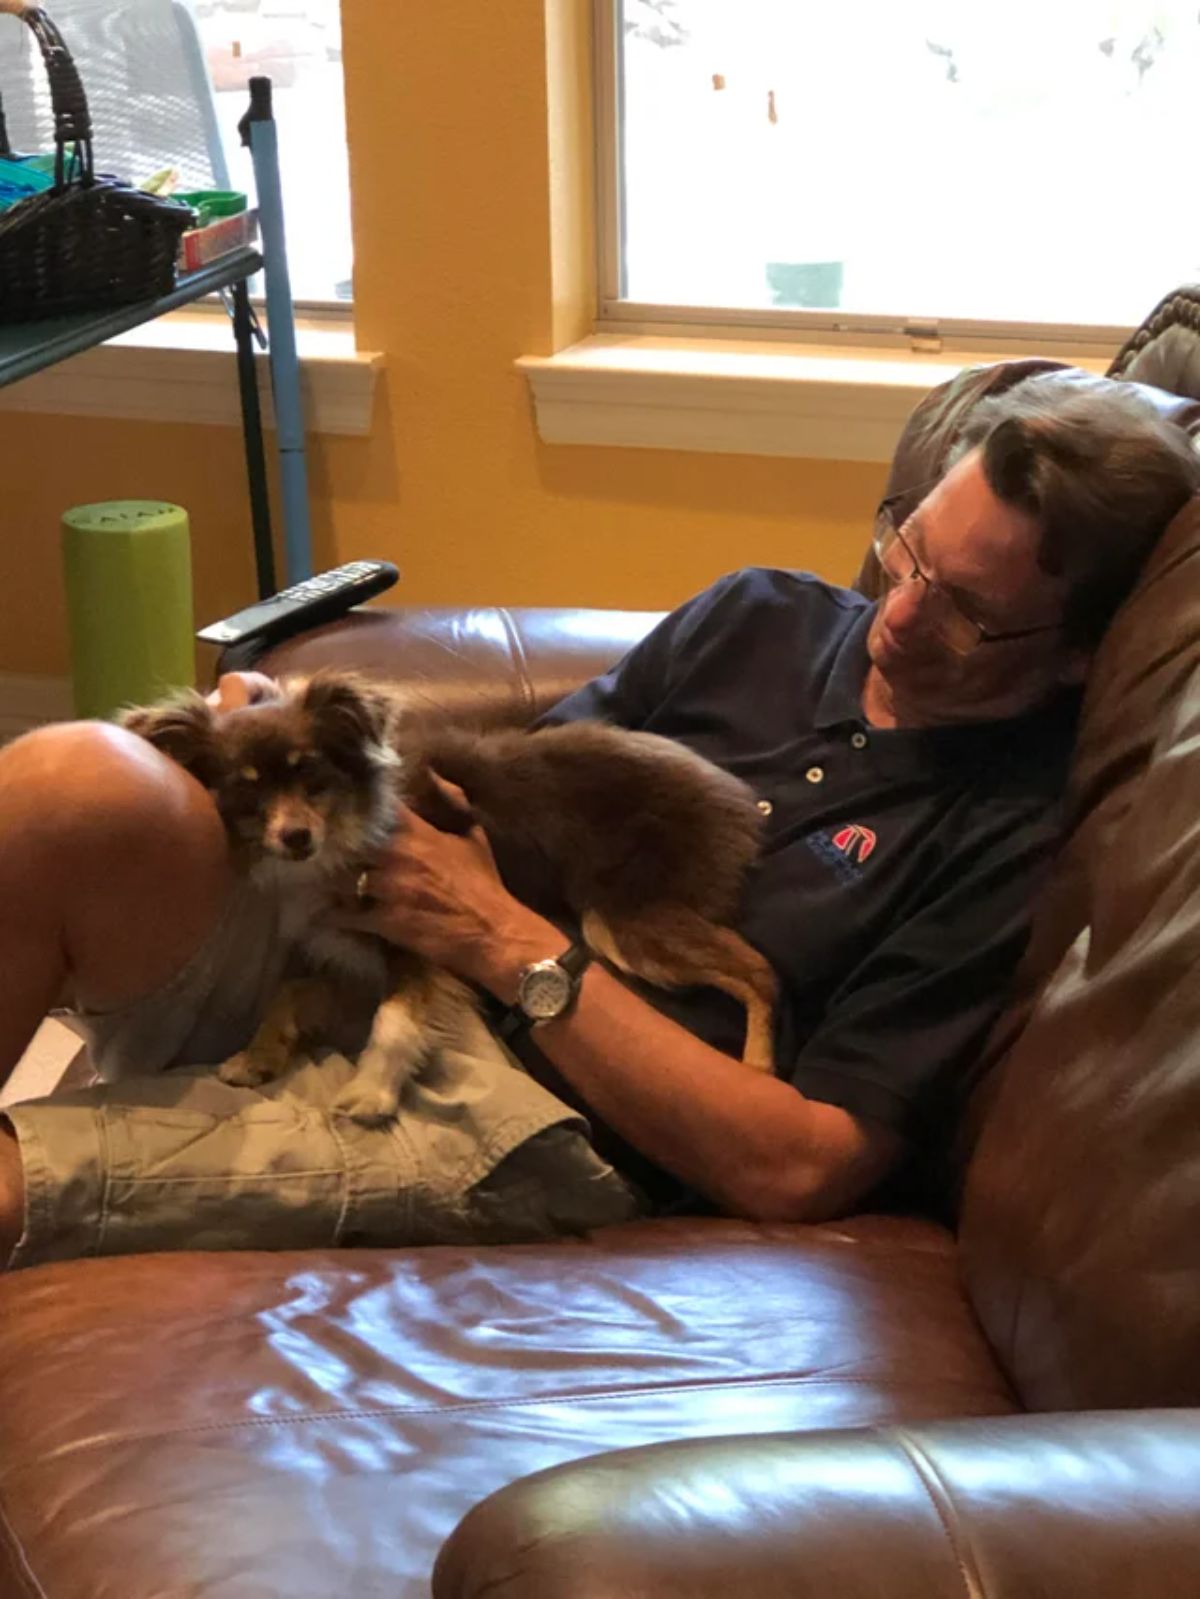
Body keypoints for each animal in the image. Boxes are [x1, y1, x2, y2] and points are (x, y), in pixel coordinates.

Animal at [120, 674, 780, 1125]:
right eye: (247, 793)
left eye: (312, 776)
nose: (297, 838)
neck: (344, 832)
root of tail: (731, 791)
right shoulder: (346, 950)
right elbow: (288, 994)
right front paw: (256, 1058)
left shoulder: (418, 944)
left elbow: (393, 1022)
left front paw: (372, 1094)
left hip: (620, 922)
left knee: (760, 971)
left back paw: (758, 1068)